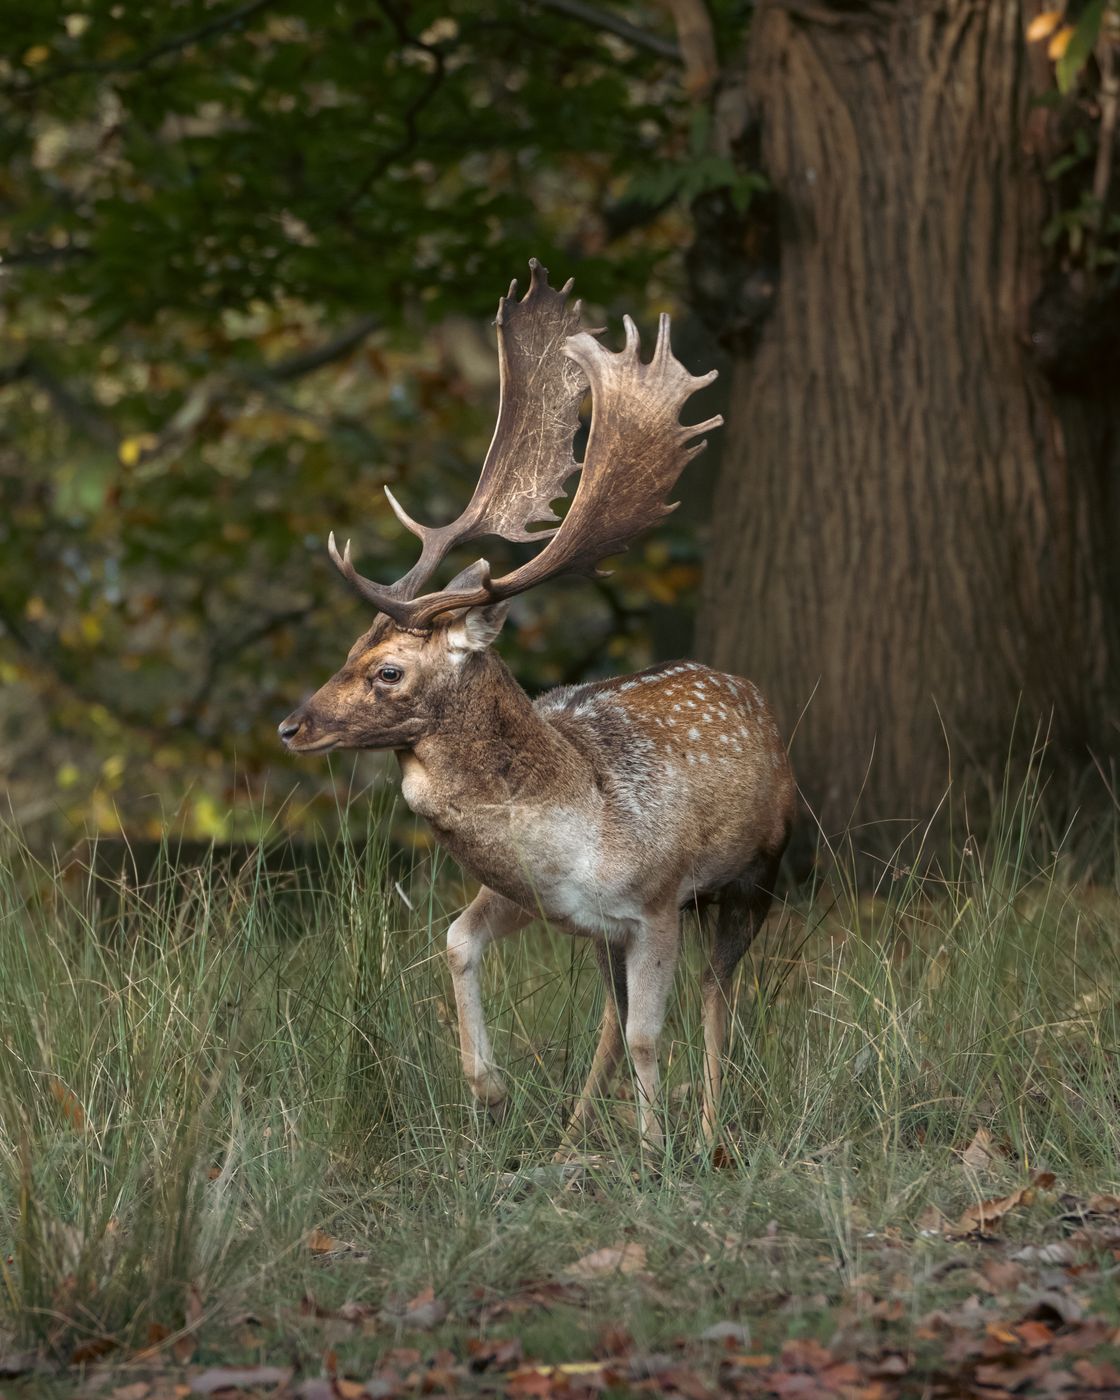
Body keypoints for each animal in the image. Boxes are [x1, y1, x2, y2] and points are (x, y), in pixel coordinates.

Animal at [279, 261, 794, 1149]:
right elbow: (458, 939)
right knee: (612, 1017)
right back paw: (575, 1131)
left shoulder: (656, 900)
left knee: (717, 997)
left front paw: (655, 1148)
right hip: (623, 935)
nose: (292, 725)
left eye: (388, 671)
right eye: (349, 650)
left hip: (758, 873)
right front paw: (489, 1089)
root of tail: (757, 698)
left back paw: (706, 1129)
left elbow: (654, 1032)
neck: (578, 827)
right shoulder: (553, 904)